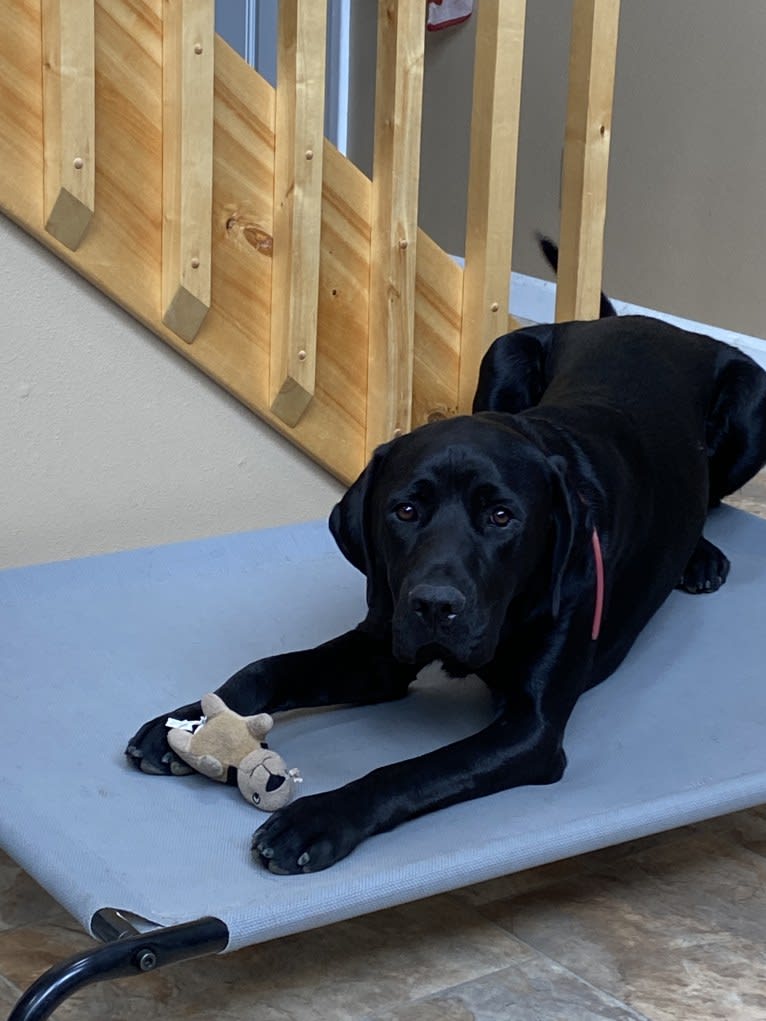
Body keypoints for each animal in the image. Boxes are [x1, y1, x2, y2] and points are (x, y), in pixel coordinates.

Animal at [126, 314, 766, 873]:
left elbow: (410, 770)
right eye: (406, 510)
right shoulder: (381, 648)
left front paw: (317, 819)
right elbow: (267, 668)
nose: (435, 605)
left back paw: (700, 555)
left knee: (715, 497)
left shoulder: (530, 730)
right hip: (504, 356)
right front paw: (186, 721)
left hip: (751, 405)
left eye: (502, 517)